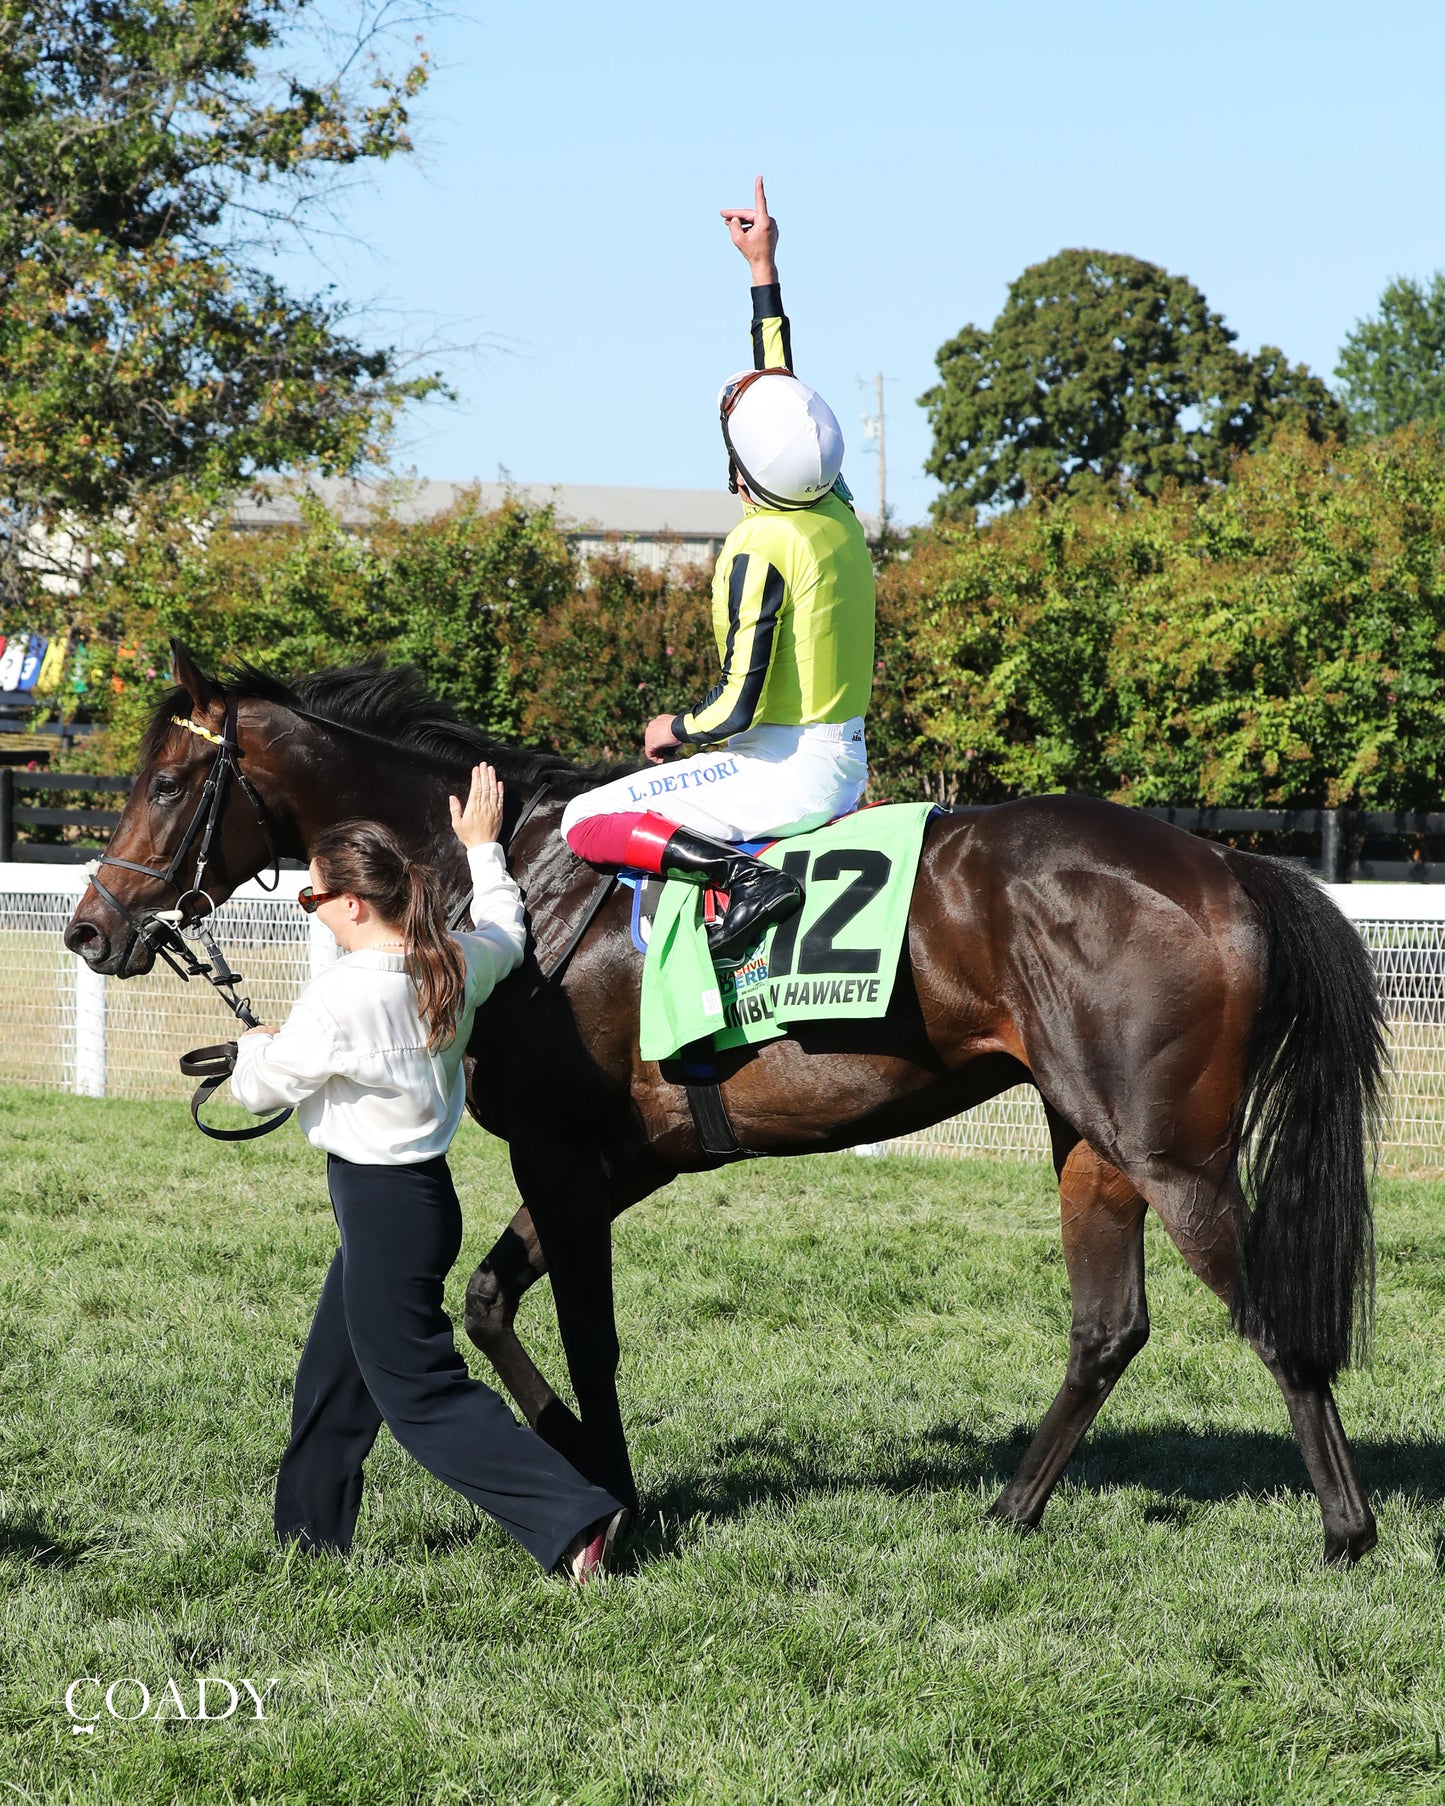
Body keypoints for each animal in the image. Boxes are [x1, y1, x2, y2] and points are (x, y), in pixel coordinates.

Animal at [64, 645, 1387, 1564]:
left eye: (170, 779)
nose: (91, 929)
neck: (514, 887)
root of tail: (1223, 863)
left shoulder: (560, 1150)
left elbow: (582, 1333)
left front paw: (612, 1495)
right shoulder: (616, 1159)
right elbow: (490, 1301)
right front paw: (576, 1455)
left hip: (1171, 1153)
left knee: (1272, 1318)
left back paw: (1345, 1530)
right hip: (1090, 1143)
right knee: (1106, 1329)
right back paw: (1008, 1510)